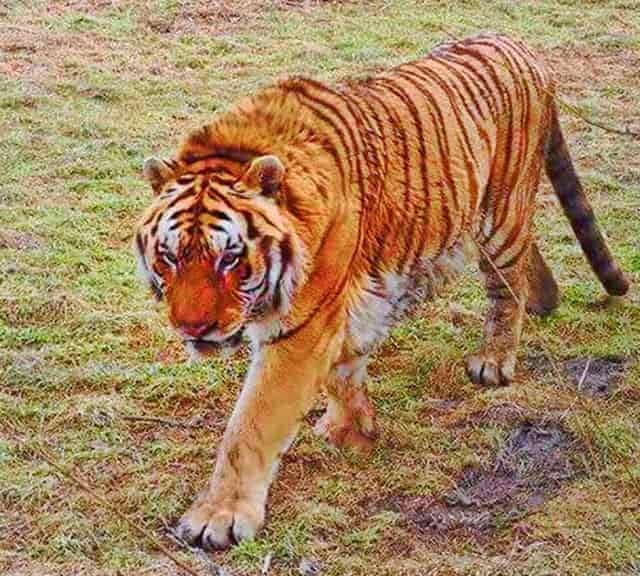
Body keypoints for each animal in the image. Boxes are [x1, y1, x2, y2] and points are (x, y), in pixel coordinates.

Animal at [132, 32, 628, 548]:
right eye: (170, 256)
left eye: (229, 257)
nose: (193, 328)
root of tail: (513, 41)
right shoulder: (336, 310)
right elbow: (343, 368)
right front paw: (352, 428)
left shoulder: (304, 326)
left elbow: (251, 423)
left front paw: (219, 515)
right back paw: (544, 301)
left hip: (501, 213)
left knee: (507, 285)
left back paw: (494, 360)